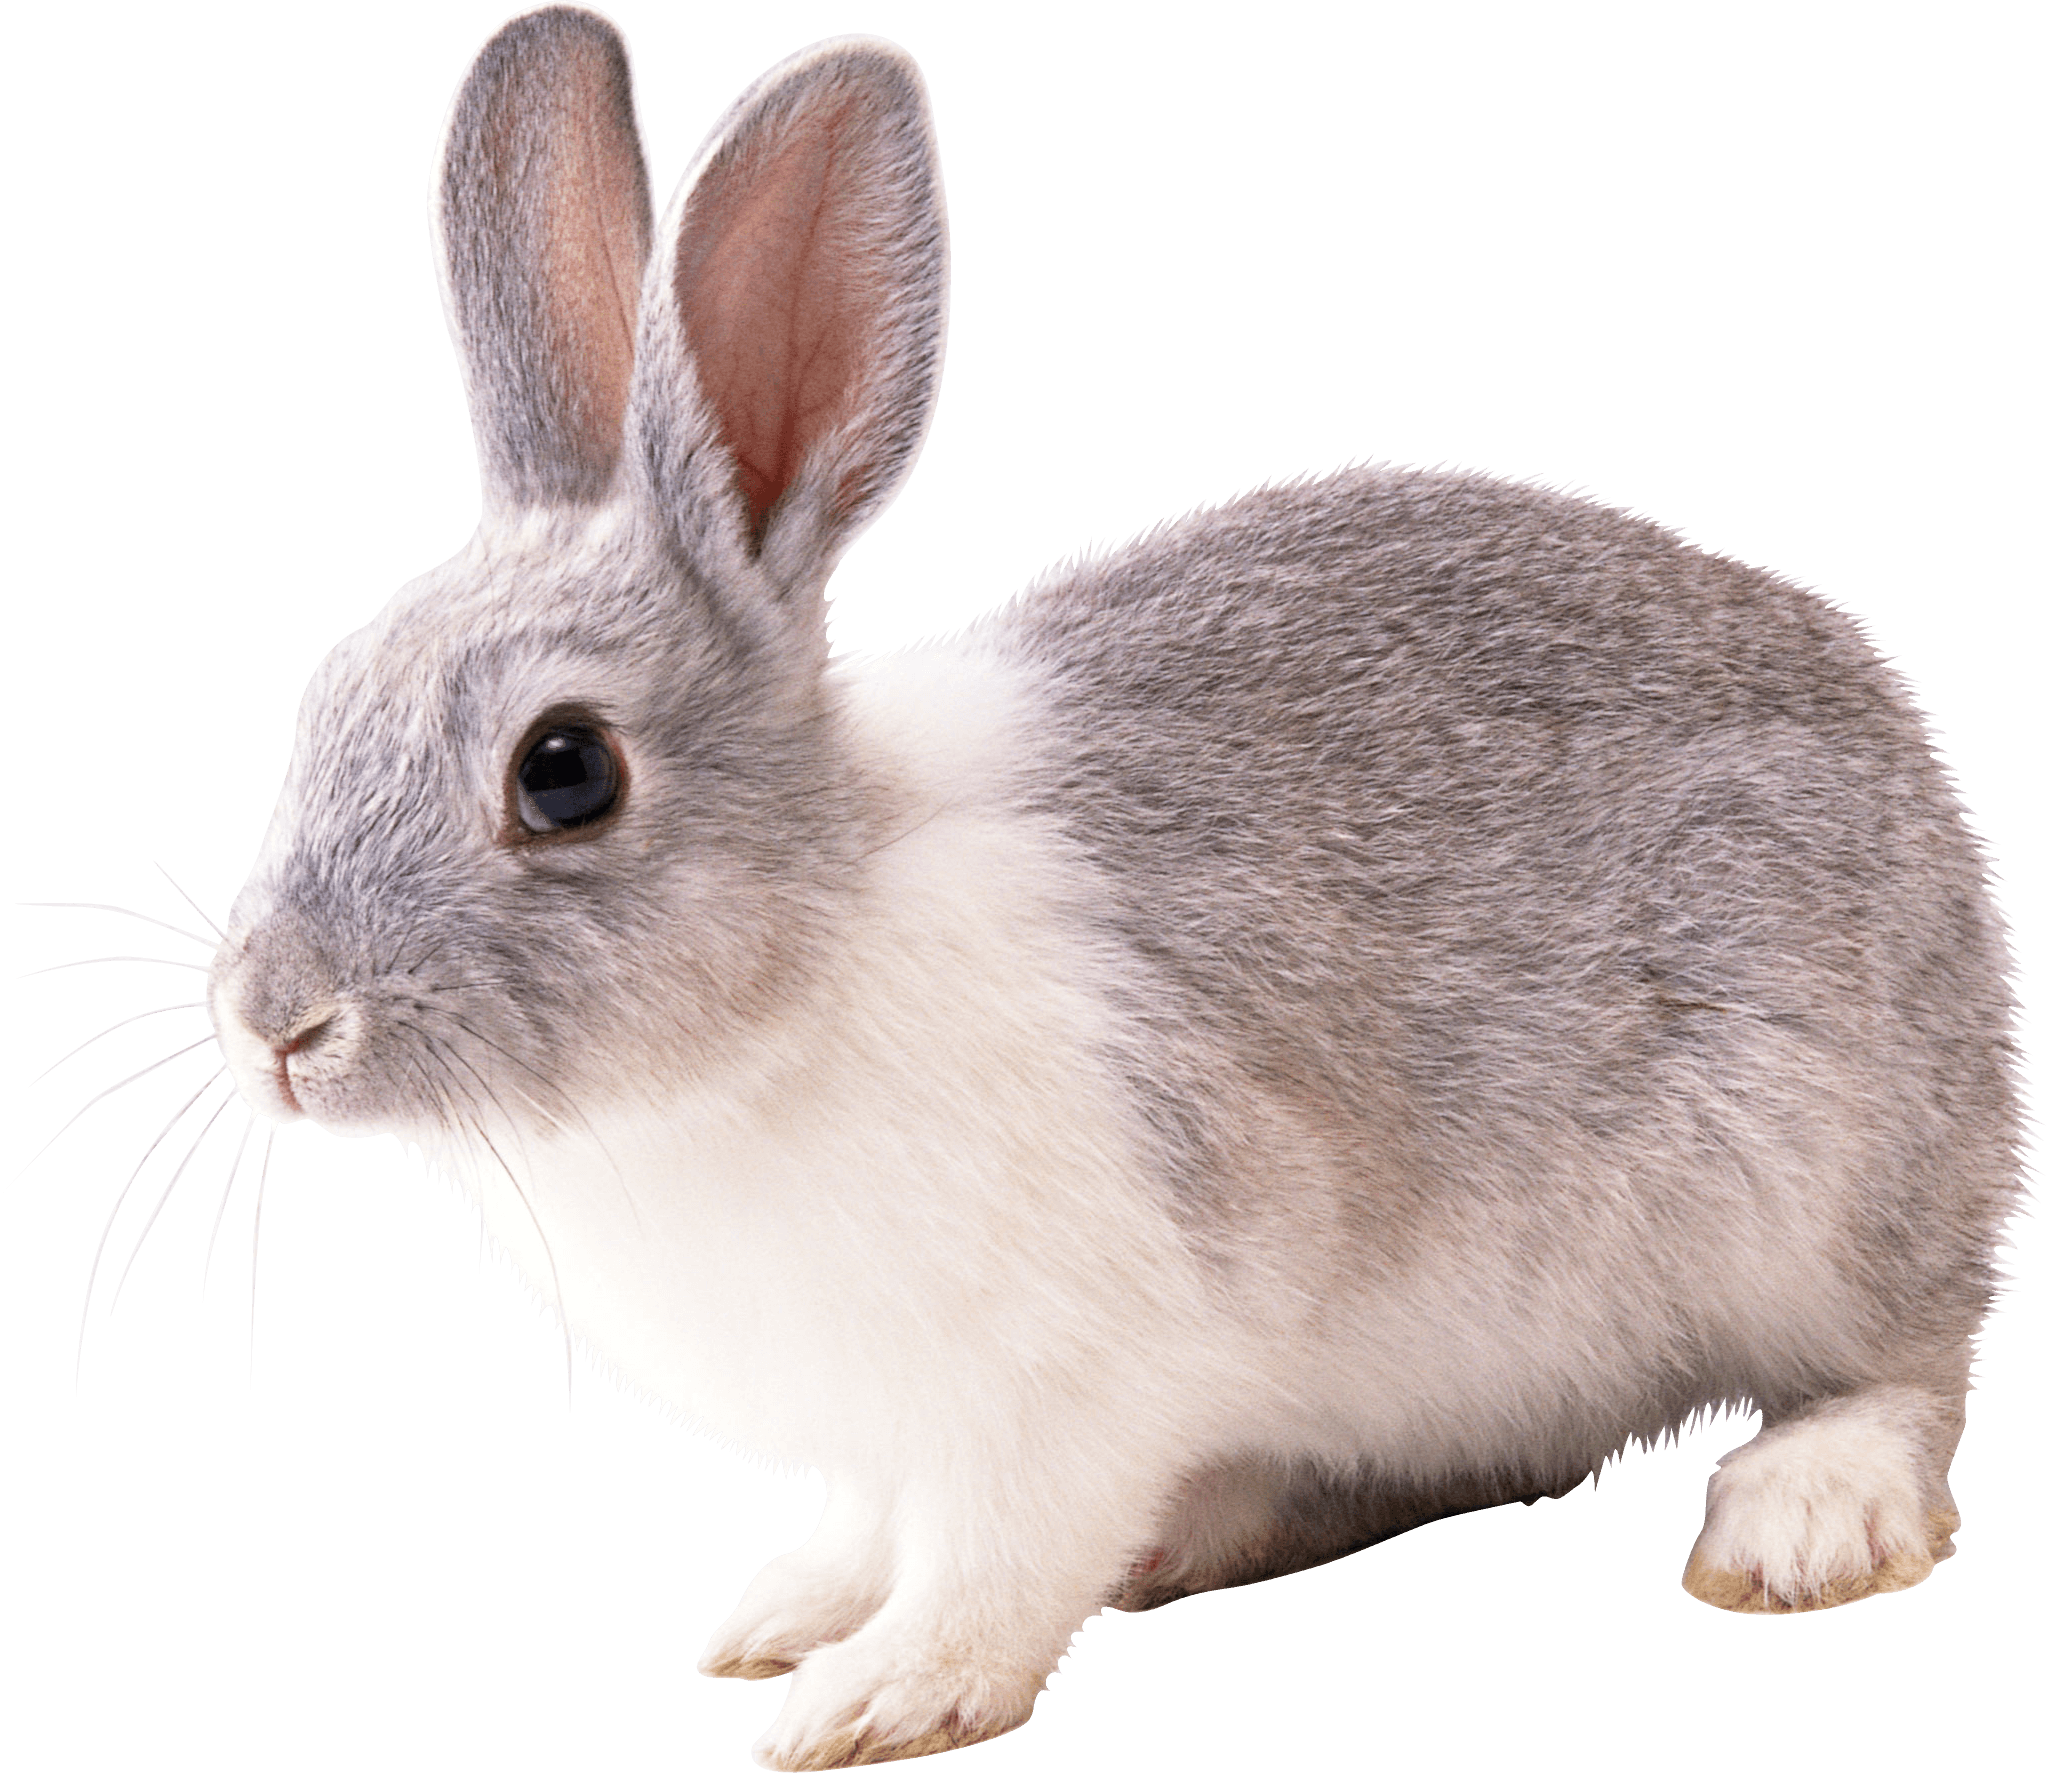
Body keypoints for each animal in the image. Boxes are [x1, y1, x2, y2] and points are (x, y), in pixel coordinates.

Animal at [194, 3, 2025, 1767]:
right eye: (327, 693)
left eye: (564, 771)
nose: (272, 1025)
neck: (799, 961)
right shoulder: (892, 1437)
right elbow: (868, 1526)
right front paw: (782, 1617)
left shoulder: (1056, 1389)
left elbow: (994, 1563)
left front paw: (877, 1703)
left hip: (1816, 1187)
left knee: (1907, 1367)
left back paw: (1801, 1523)